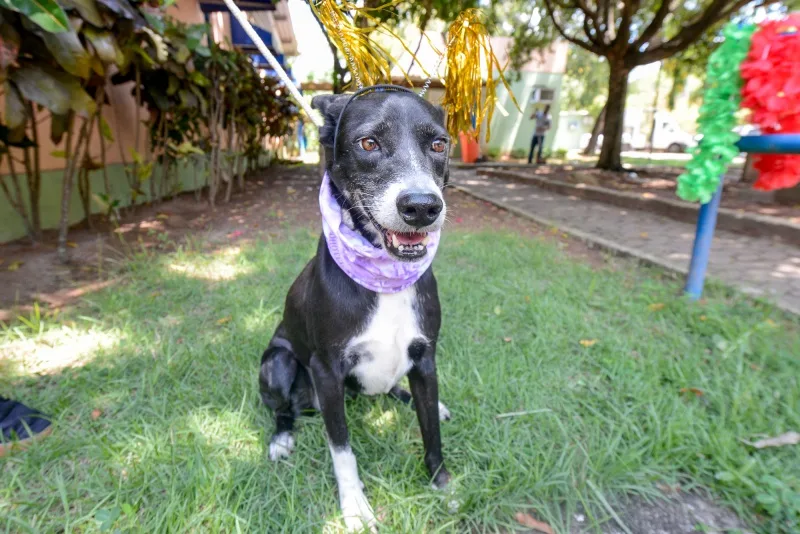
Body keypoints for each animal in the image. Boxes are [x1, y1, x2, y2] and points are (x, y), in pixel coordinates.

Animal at [260, 88, 454, 532]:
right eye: (368, 143)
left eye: (439, 144)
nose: (423, 207)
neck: (386, 277)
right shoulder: (326, 371)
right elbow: (342, 449)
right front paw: (354, 506)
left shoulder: (426, 356)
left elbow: (431, 433)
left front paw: (441, 480)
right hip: (277, 362)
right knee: (283, 410)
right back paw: (281, 438)